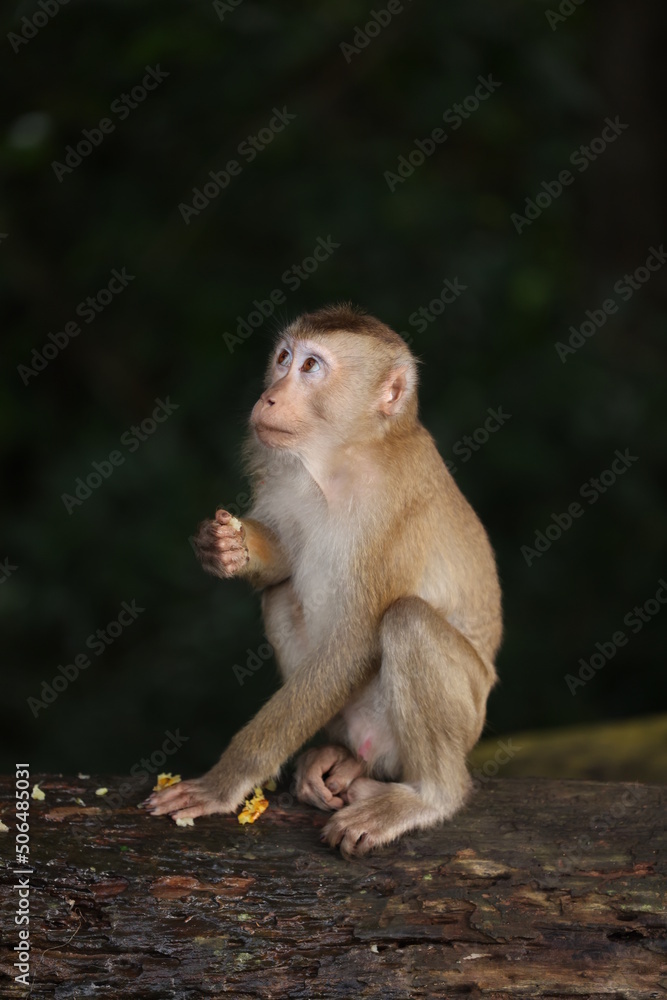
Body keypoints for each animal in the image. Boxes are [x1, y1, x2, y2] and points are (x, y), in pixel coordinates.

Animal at [146, 304, 502, 858]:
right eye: (283, 358)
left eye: (311, 367)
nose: (269, 396)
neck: (340, 458)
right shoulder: (283, 476)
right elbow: (283, 566)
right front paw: (224, 547)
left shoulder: (392, 507)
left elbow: (355, 641)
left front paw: (223, 782)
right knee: (281, 596)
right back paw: (335, 756)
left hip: (463, 719)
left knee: (408, 621)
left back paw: (428, 796)